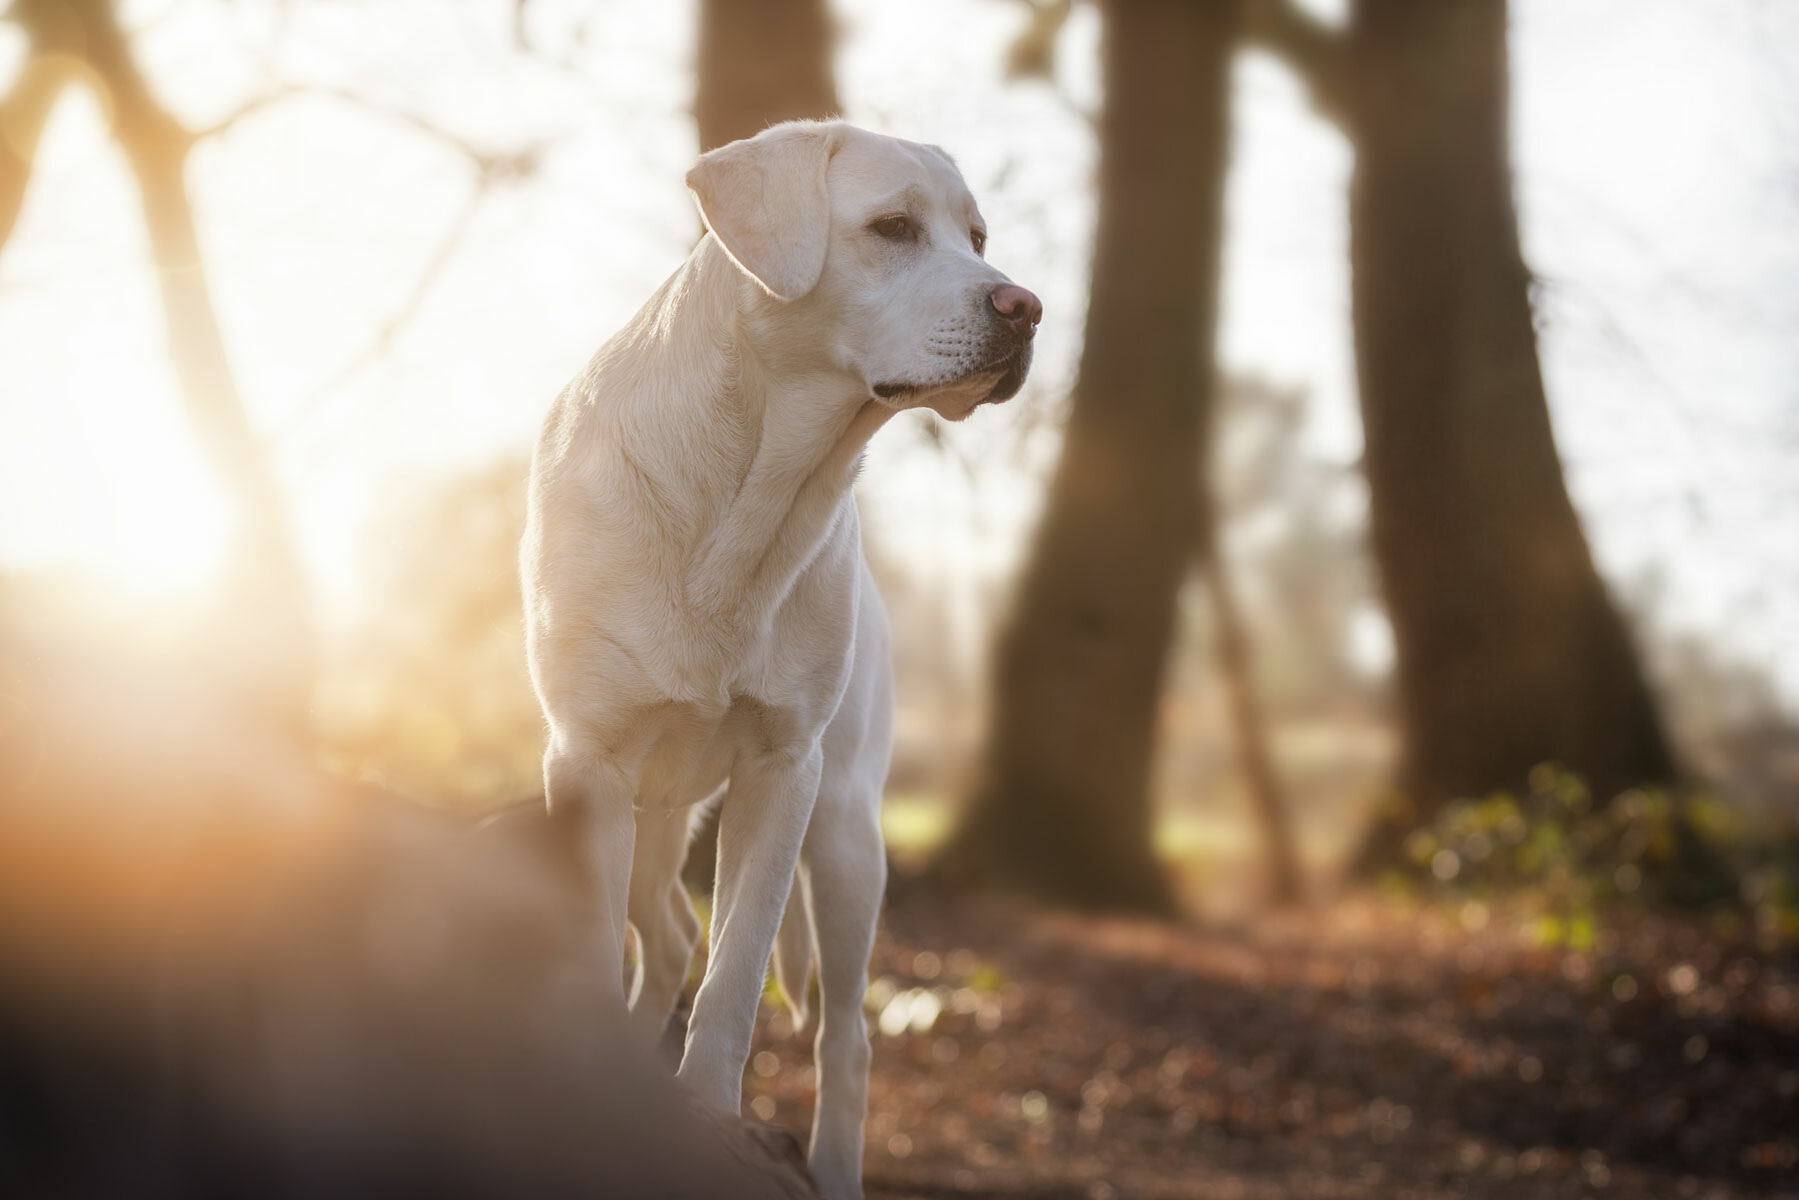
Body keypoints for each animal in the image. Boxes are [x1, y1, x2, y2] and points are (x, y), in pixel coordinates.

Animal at [521, 116, 1043, 1194]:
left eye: (975, 236)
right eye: (892, 228)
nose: (1027, 307)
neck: (749, 489)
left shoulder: (781, 770)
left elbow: (734, 973)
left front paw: (712, 1114)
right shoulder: (587, 762)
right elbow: (601, 954)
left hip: (845, 838)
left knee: (842, 1034)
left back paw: (832, 1161)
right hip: (654, 815)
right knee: (666, 937)